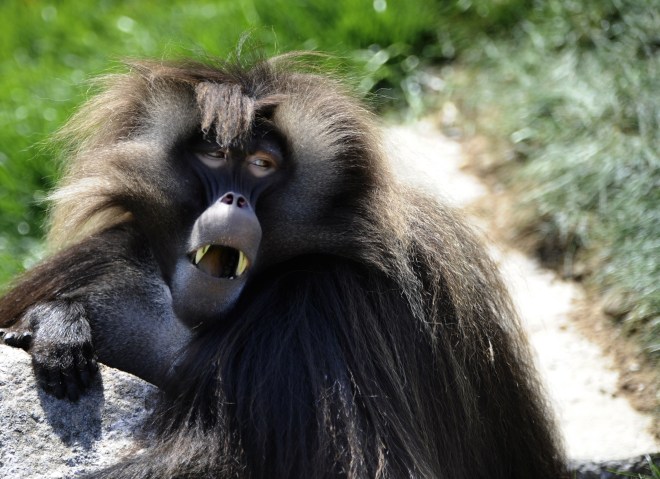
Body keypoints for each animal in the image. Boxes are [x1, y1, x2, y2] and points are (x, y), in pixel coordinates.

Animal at [0, 54, 566, 478]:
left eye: (261, 165)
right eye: (213, 155)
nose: (233, 199)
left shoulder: (331, 303)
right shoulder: (114, 257)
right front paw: (56, 324)